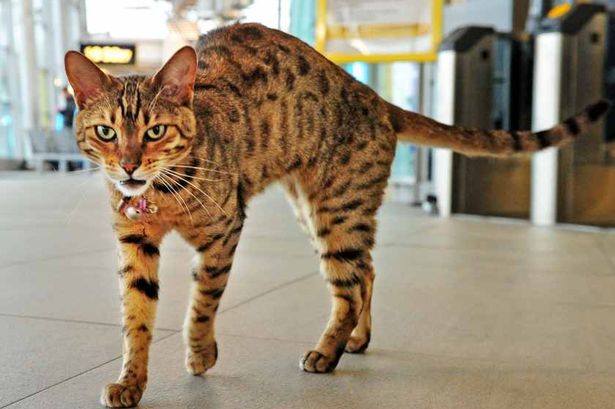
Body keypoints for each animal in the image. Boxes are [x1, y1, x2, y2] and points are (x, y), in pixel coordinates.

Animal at [63, 23, 612, 408]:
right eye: (107, 132)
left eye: (155, 131)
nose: (129, 165)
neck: (161, 195)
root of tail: (378, 100)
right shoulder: (135, 242)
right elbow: (136, 318)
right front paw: (130, 382)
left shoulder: (225, 230)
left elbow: (203, 302)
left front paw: (200, 352)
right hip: (315, 210)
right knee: (365, 271)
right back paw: (357, 340)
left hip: (336, 211)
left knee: (349, 285)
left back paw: (328, 352)